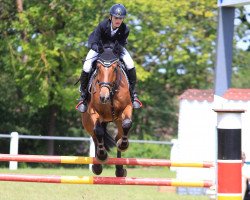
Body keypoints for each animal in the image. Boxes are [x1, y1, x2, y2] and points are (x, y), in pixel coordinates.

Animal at [81, 41, 133, 177]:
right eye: (98, 68)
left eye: (115, 68)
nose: (103, 97)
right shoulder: (93, 111)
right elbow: (98, 131)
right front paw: (102, 156)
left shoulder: (127, 107)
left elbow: (127, 123)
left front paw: (123, 145)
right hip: (88, 121)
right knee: (95, 136)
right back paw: (97, 165)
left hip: (117, 121)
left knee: (118, 135)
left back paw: (120, 170)